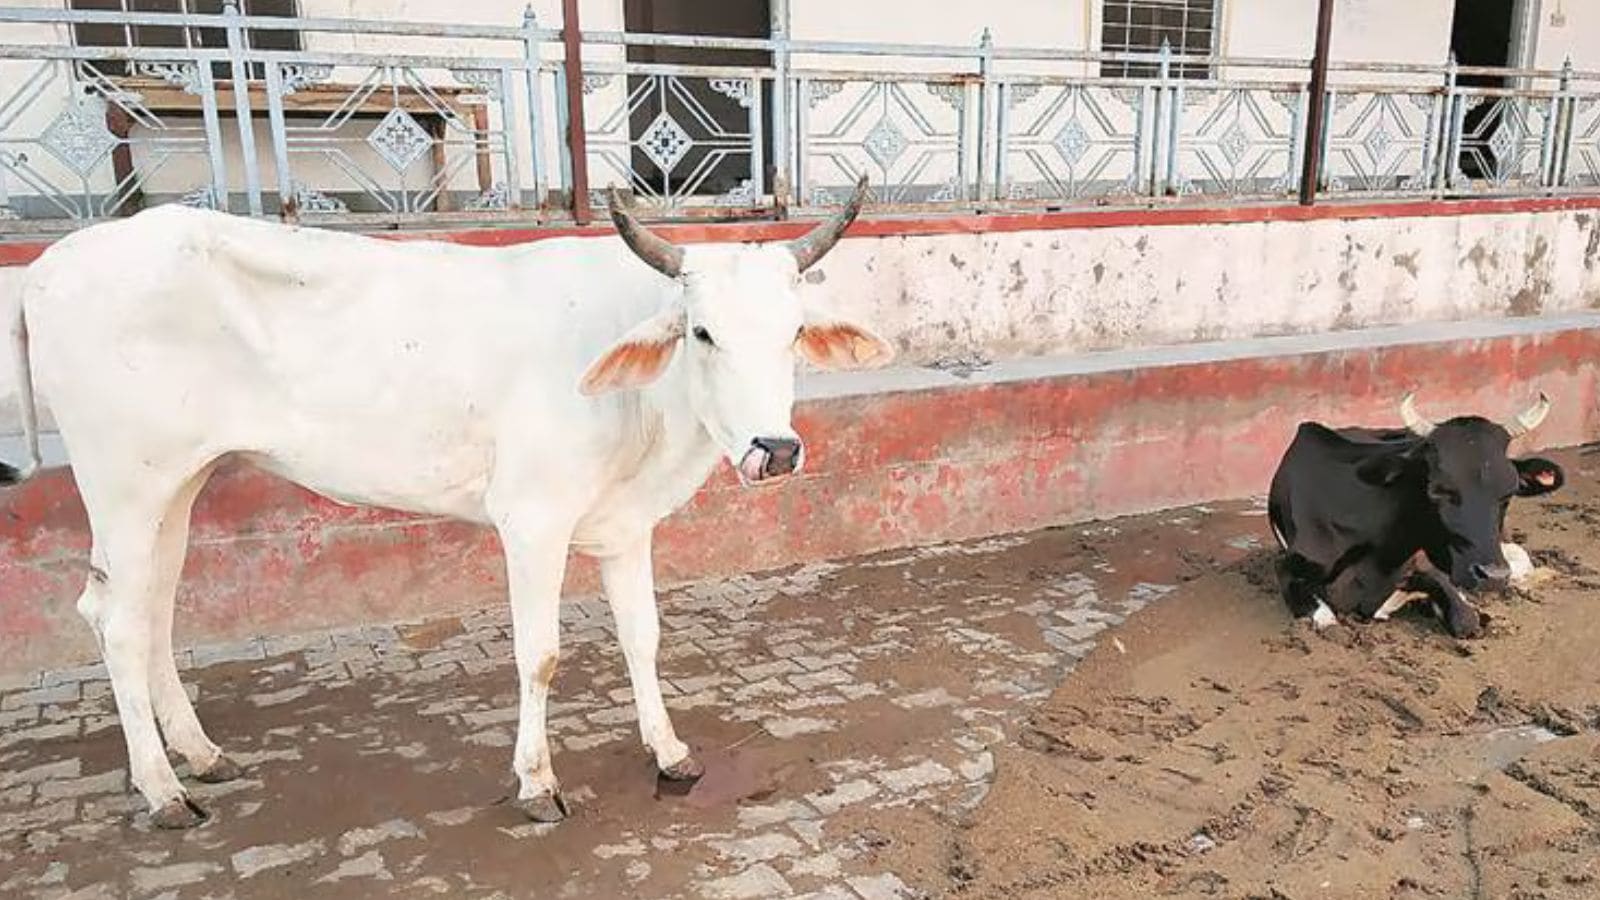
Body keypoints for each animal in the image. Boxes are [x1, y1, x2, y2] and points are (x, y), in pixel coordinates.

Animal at [0, 176, 892, 829]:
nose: (776, 449)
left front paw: (669, 752)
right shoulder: (532, 521)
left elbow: (644, 638)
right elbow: (541, 655)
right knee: (116, 621)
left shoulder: (623, 526)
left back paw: (200, 754)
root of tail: (47, 268)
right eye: (702, 333)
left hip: (178, 485)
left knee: (153, 608)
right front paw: (536, 783)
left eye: (792, 333)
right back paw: (162, 792)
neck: (649, 413)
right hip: (124, 482)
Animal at [1267, 393, 1565, 639]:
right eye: (1439, 491)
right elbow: (1326, 619)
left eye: (1509, 492)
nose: (1493, 576)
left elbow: (1466, 618)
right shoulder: (1289, 565)